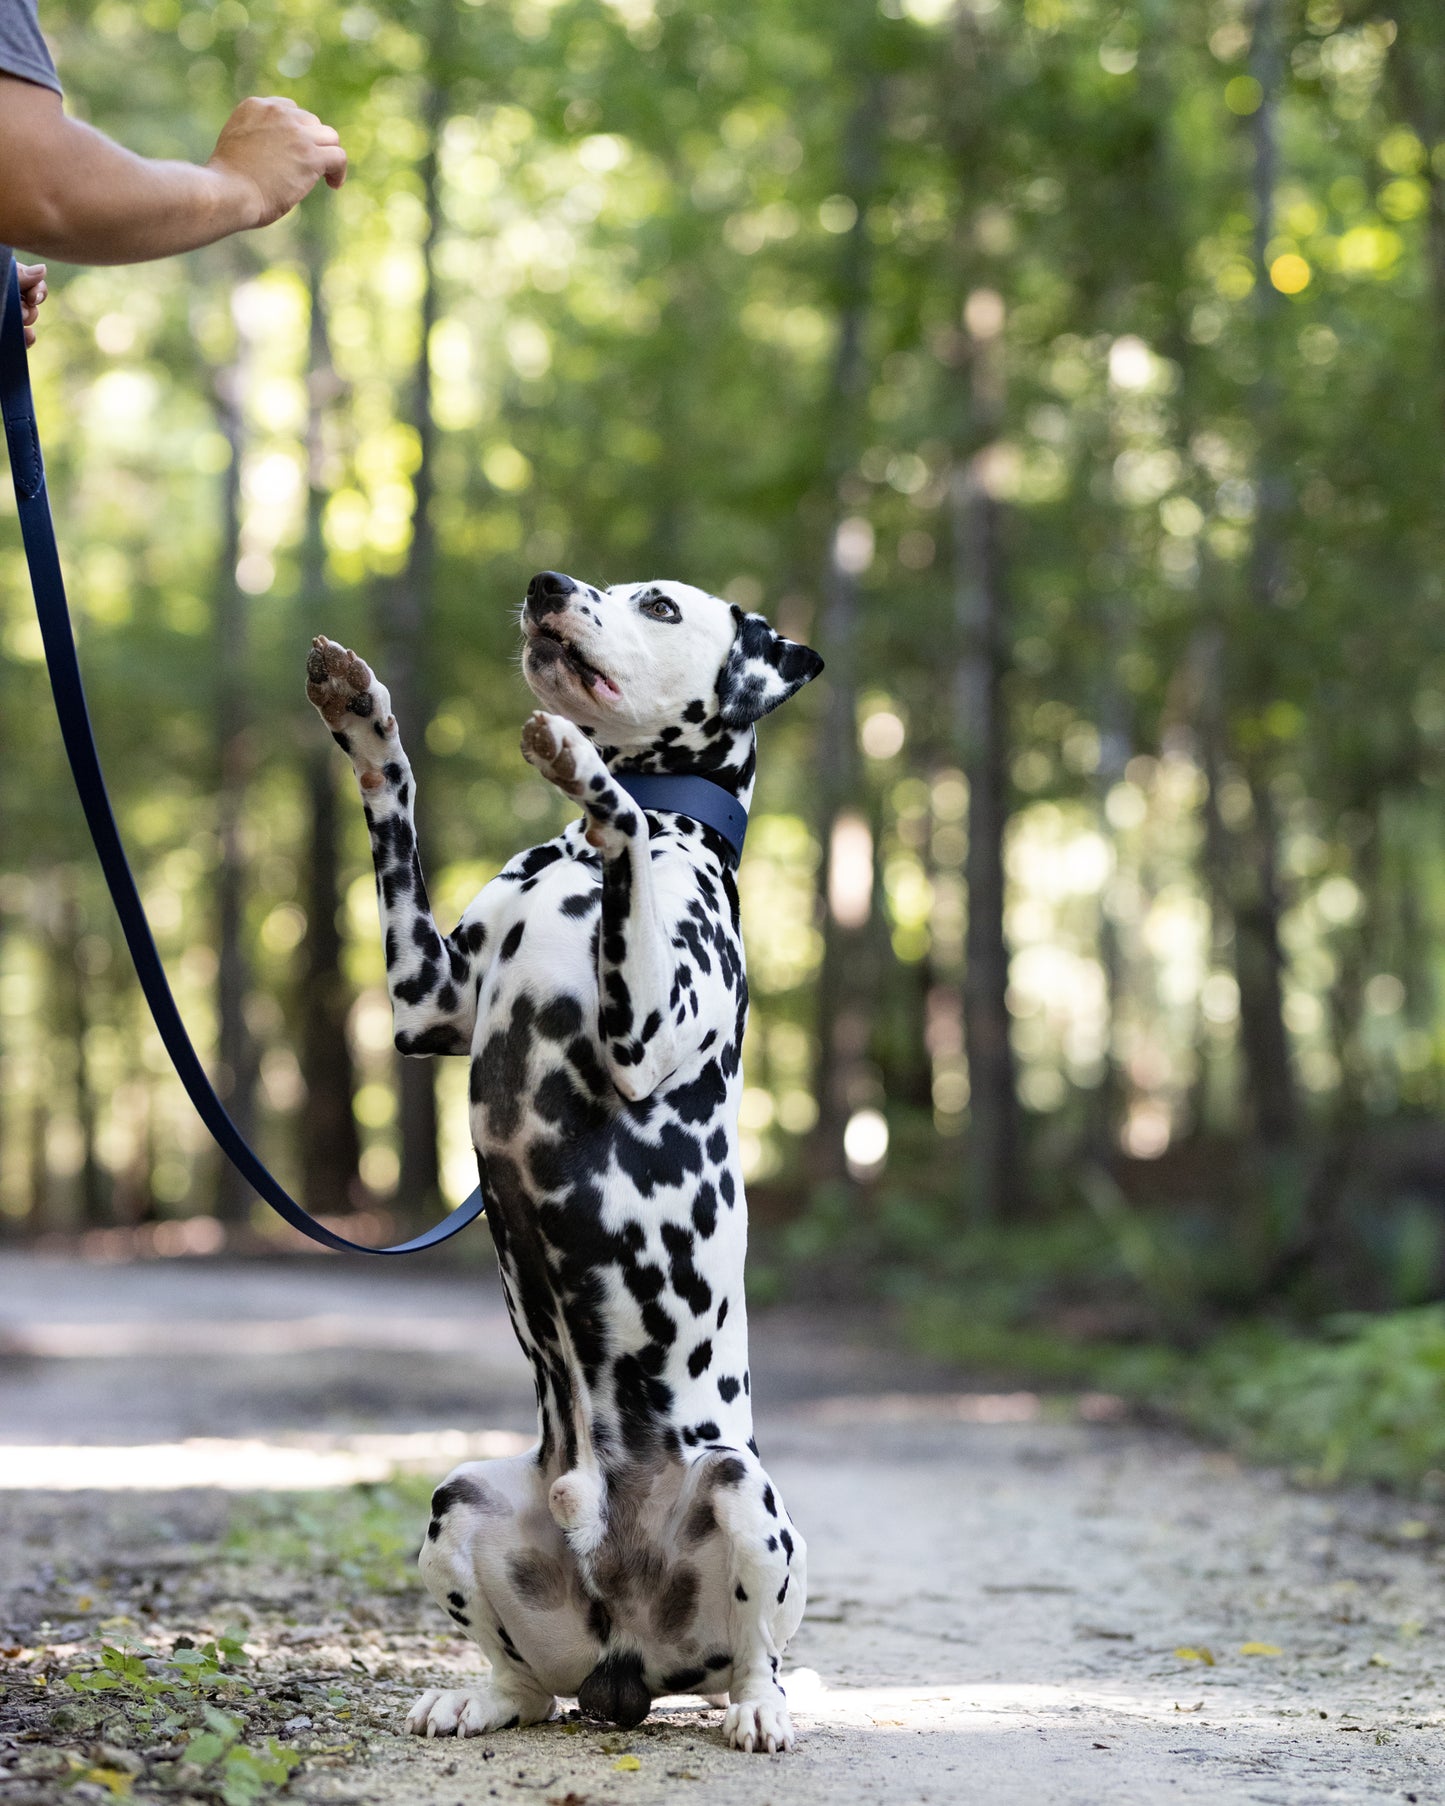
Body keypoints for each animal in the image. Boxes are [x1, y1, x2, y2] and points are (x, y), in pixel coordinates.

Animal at [305, 574, 823, 1748]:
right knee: (522, 1682)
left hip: (742, 1493)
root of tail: (629, 1665)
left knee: (758, 1654)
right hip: (458, 1498)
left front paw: (590, 774)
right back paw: (475, 1695)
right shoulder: (424, 1002)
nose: (545, 586)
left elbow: (617, 810)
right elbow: (394, 806)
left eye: (660, 605)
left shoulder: (640, 1031)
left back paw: (761, 1707)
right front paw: (364, 715)